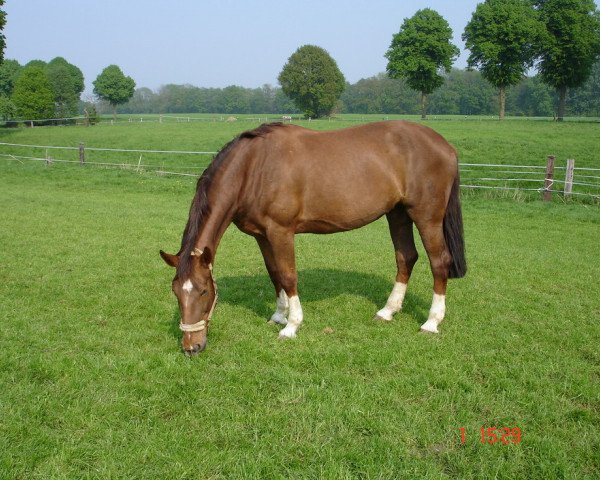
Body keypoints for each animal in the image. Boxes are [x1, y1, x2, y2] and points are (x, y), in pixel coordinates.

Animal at [162, 121, 466, 352]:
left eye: (203, 291)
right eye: (176, 292)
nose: (191, 347)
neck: (254, 166)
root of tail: (446, 146)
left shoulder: (281, 232)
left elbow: (288, 276)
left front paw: (292, 325)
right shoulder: (262, 236)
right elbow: (274, 273)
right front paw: (278, 315)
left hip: (426, 216)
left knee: (439, 262)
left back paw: (431, 322)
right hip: (398, 213)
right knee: (406, 258)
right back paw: (387, 311)